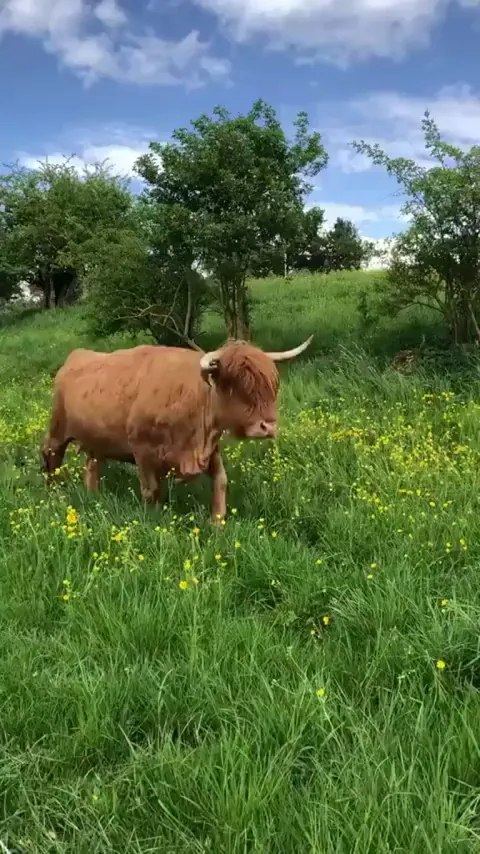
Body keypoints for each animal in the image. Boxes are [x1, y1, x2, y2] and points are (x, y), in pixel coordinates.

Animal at [41, 336, 313, 522]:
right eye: (234, 383)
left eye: (271, 385)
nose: (268, 426)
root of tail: (75, 357)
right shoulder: (142, 450)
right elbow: (151, 490)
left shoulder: (209, 447)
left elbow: (221, 481)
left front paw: (218, 523)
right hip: (58, 429)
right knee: (51, 454)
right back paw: (53, 491)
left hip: (96, 439)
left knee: (92, 465)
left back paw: (93, 495)